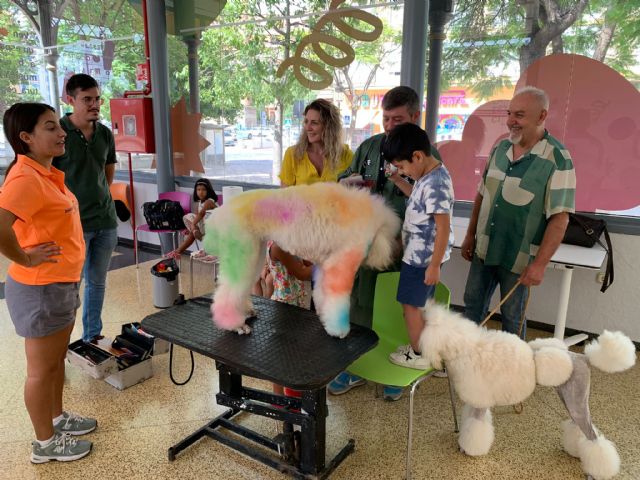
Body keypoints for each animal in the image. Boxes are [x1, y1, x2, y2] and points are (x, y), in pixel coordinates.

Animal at [204, 183, 400, 338]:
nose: (395, 256)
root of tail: (220, 213)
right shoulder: (342, 263)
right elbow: (338, 301)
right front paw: (339, 330)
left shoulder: (325, 265)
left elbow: (322, 295)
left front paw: (324, 318)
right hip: (242, 249)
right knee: (228, 292)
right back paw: (235, 325)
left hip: (254, 252)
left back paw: (244, 311)